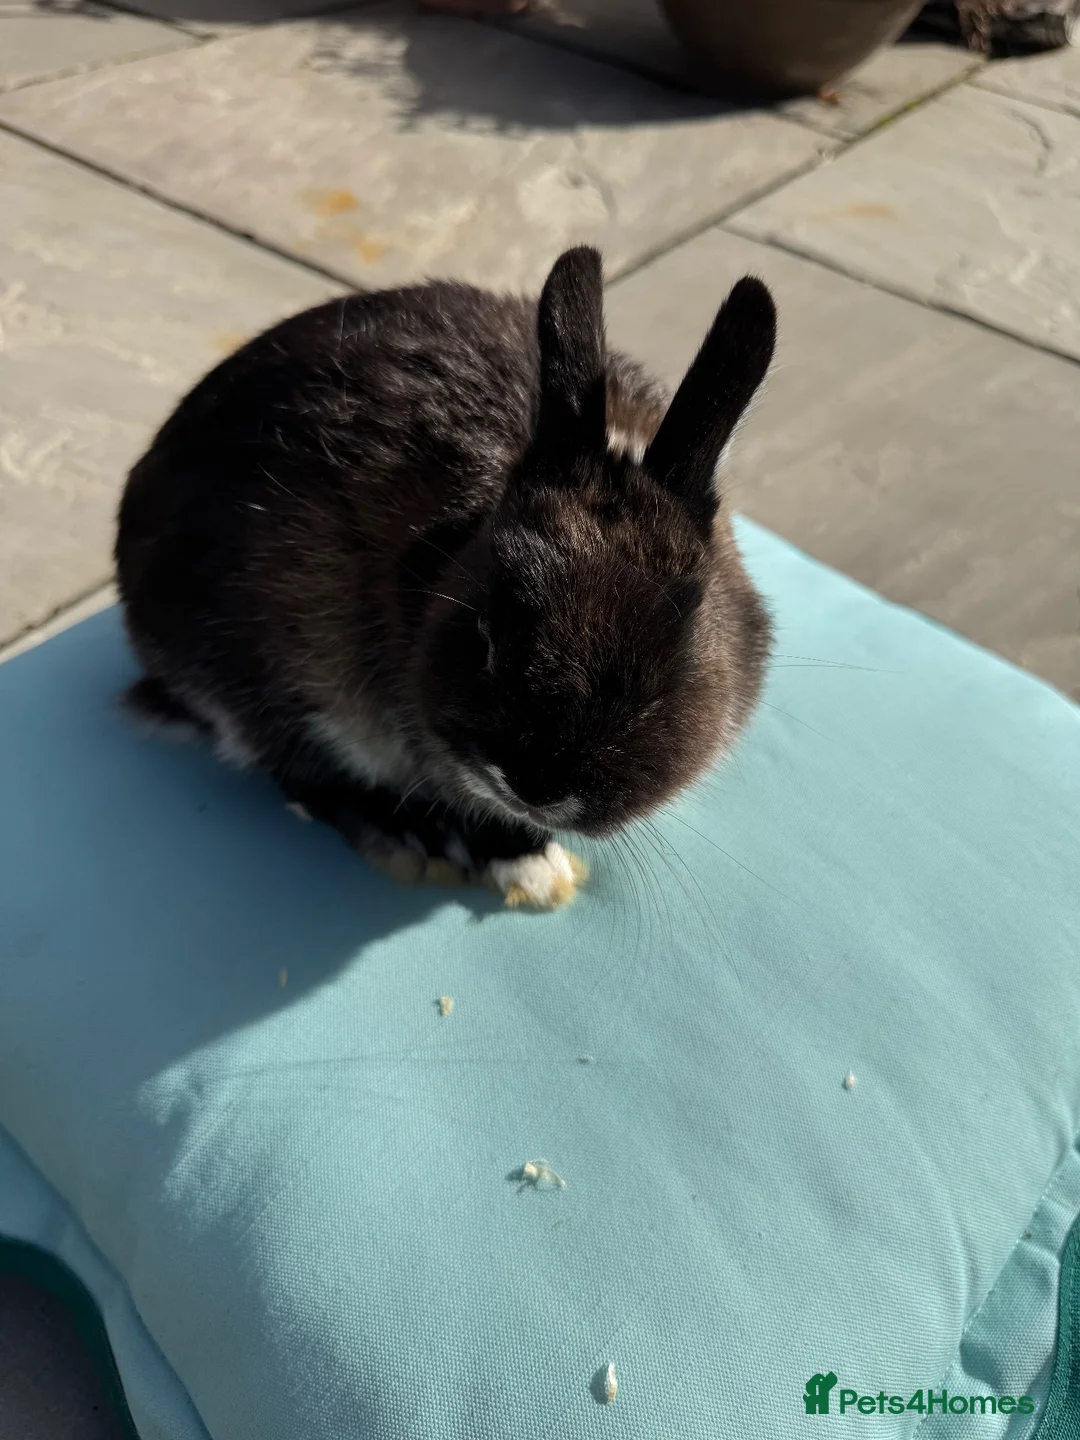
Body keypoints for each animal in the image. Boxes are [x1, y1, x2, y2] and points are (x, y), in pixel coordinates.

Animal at [115, 246, 776, 910]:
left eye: (676, 661)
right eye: (485, 633)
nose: (536, 785)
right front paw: (532, 871)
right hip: (258, 669)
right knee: (299, 772)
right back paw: (409, 839)